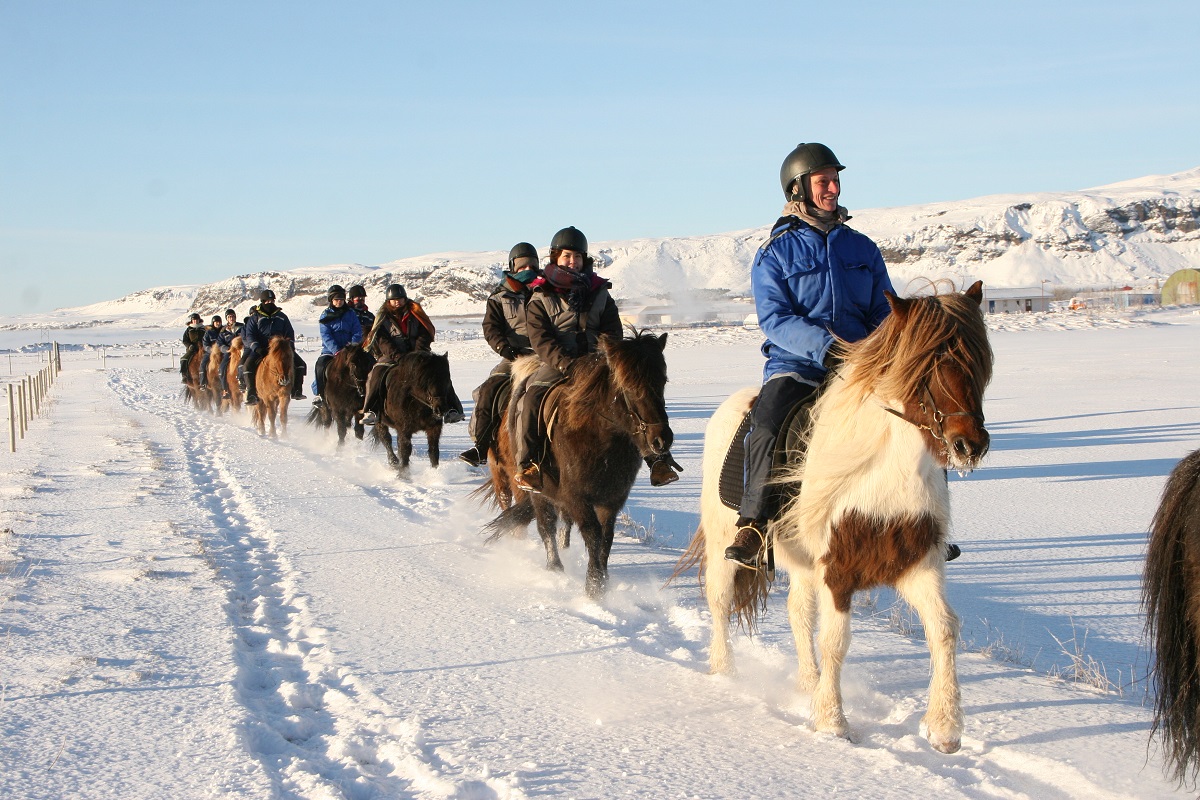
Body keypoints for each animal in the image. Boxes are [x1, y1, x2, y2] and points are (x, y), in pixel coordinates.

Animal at [487, 328, 676, 597]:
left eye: (662, 381)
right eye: (627, 386)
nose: (661, 439)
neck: (600, 438)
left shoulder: (612, 499)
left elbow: (606, 537)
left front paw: (603, 581)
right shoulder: (576, 497)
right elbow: (592, 534)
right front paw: (593, 586)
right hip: (533, 489)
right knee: (546, 525)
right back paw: (554, 568)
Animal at [681, 284, 998, 753]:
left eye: (978, 362)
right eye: (928, 364)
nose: (968, 446)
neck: (884, 473)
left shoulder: (917, 564)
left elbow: (943, 629)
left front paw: (945, 728)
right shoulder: (839, 570)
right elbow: (836, 641)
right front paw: (832, 723)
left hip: (801, 564)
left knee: (798, 613)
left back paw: (806, 683)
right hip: (727, 546)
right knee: (720, 603)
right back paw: (724, 673)